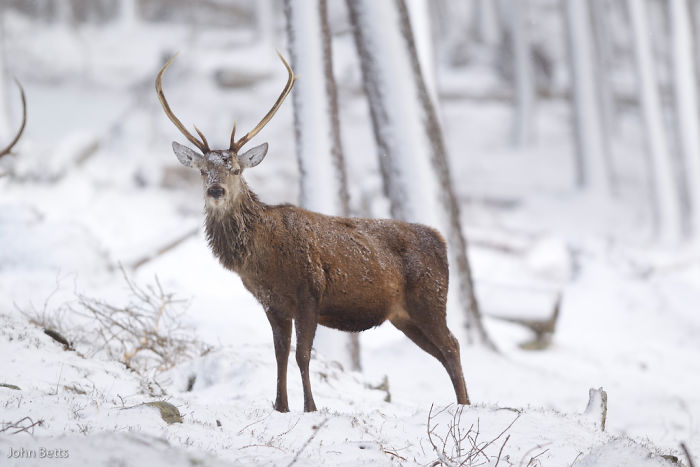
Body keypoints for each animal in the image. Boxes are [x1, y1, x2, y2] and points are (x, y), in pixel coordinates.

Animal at [155, 52, 470, 412]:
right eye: (203, 170)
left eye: (235, 169)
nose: (216, 190)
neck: (263, 259)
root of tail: (442, 241)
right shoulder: (272, 303)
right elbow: (280, 355)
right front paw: (281, 405)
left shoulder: (310, 289)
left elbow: (302, 356)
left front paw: (310, 407)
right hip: (403, 316)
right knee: (443, 351)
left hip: (430, 298)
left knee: (453, 345)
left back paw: (466, 405)